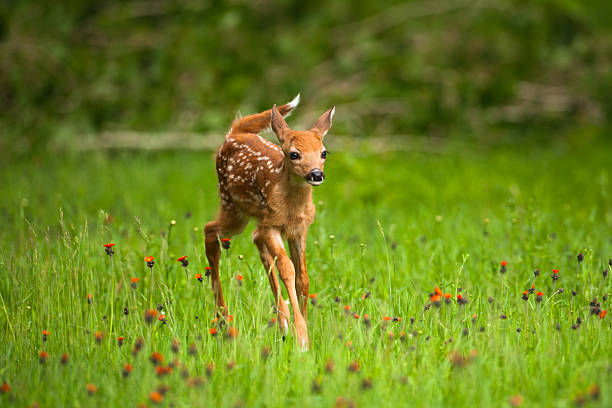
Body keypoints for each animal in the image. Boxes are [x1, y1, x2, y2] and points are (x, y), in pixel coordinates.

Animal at [204, 95, 334, 350]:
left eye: (324, 152)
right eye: (294, 154)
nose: (316, 174)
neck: (292, 208)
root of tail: (234, 132)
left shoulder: (299, 230)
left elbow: (303, 278)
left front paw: (303, 327)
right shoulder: (273, 225)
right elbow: (287, 269)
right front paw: (302, 337)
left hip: (253, 217)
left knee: (254, 239)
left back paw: (281, 321)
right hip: (233, 207)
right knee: (209, 230)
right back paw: (223, 318)